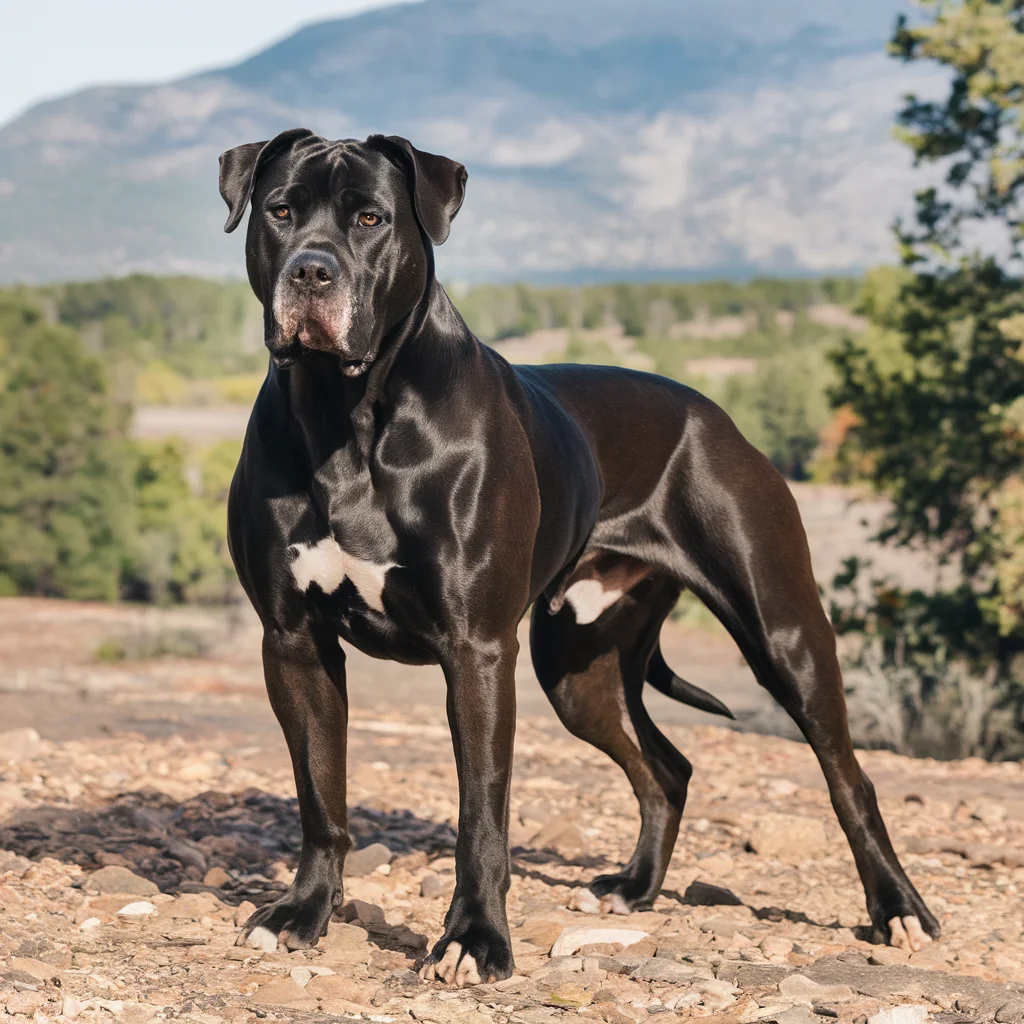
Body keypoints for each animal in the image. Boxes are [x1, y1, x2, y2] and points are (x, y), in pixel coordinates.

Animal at [220, 128, 937, 983]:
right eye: (281, 211)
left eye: (369, 218)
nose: (311, 271)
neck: (346, 411)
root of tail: (717, 416)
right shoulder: (294, 642)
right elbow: (319, 792)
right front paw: (303, 912)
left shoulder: (477, 649)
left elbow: (481, 810)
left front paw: (475, 940)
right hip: (577, 668)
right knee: (667, 769)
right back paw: (634, 888)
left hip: (784, 635)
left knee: (848, 778)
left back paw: (898, 910)